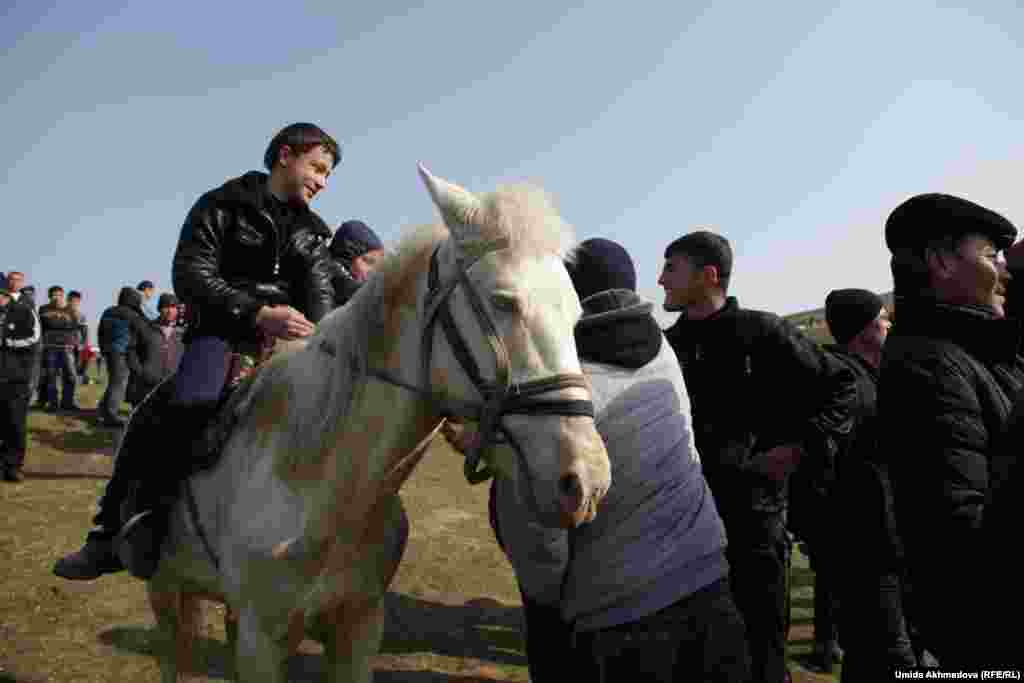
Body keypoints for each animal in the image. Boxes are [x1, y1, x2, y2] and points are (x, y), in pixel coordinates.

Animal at [142, 163, 606, 679]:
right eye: (504, 301)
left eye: (576, 312)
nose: (586, 482)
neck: (321, 482)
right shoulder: (260, 640)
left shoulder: (359, 626)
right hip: (167, 594)